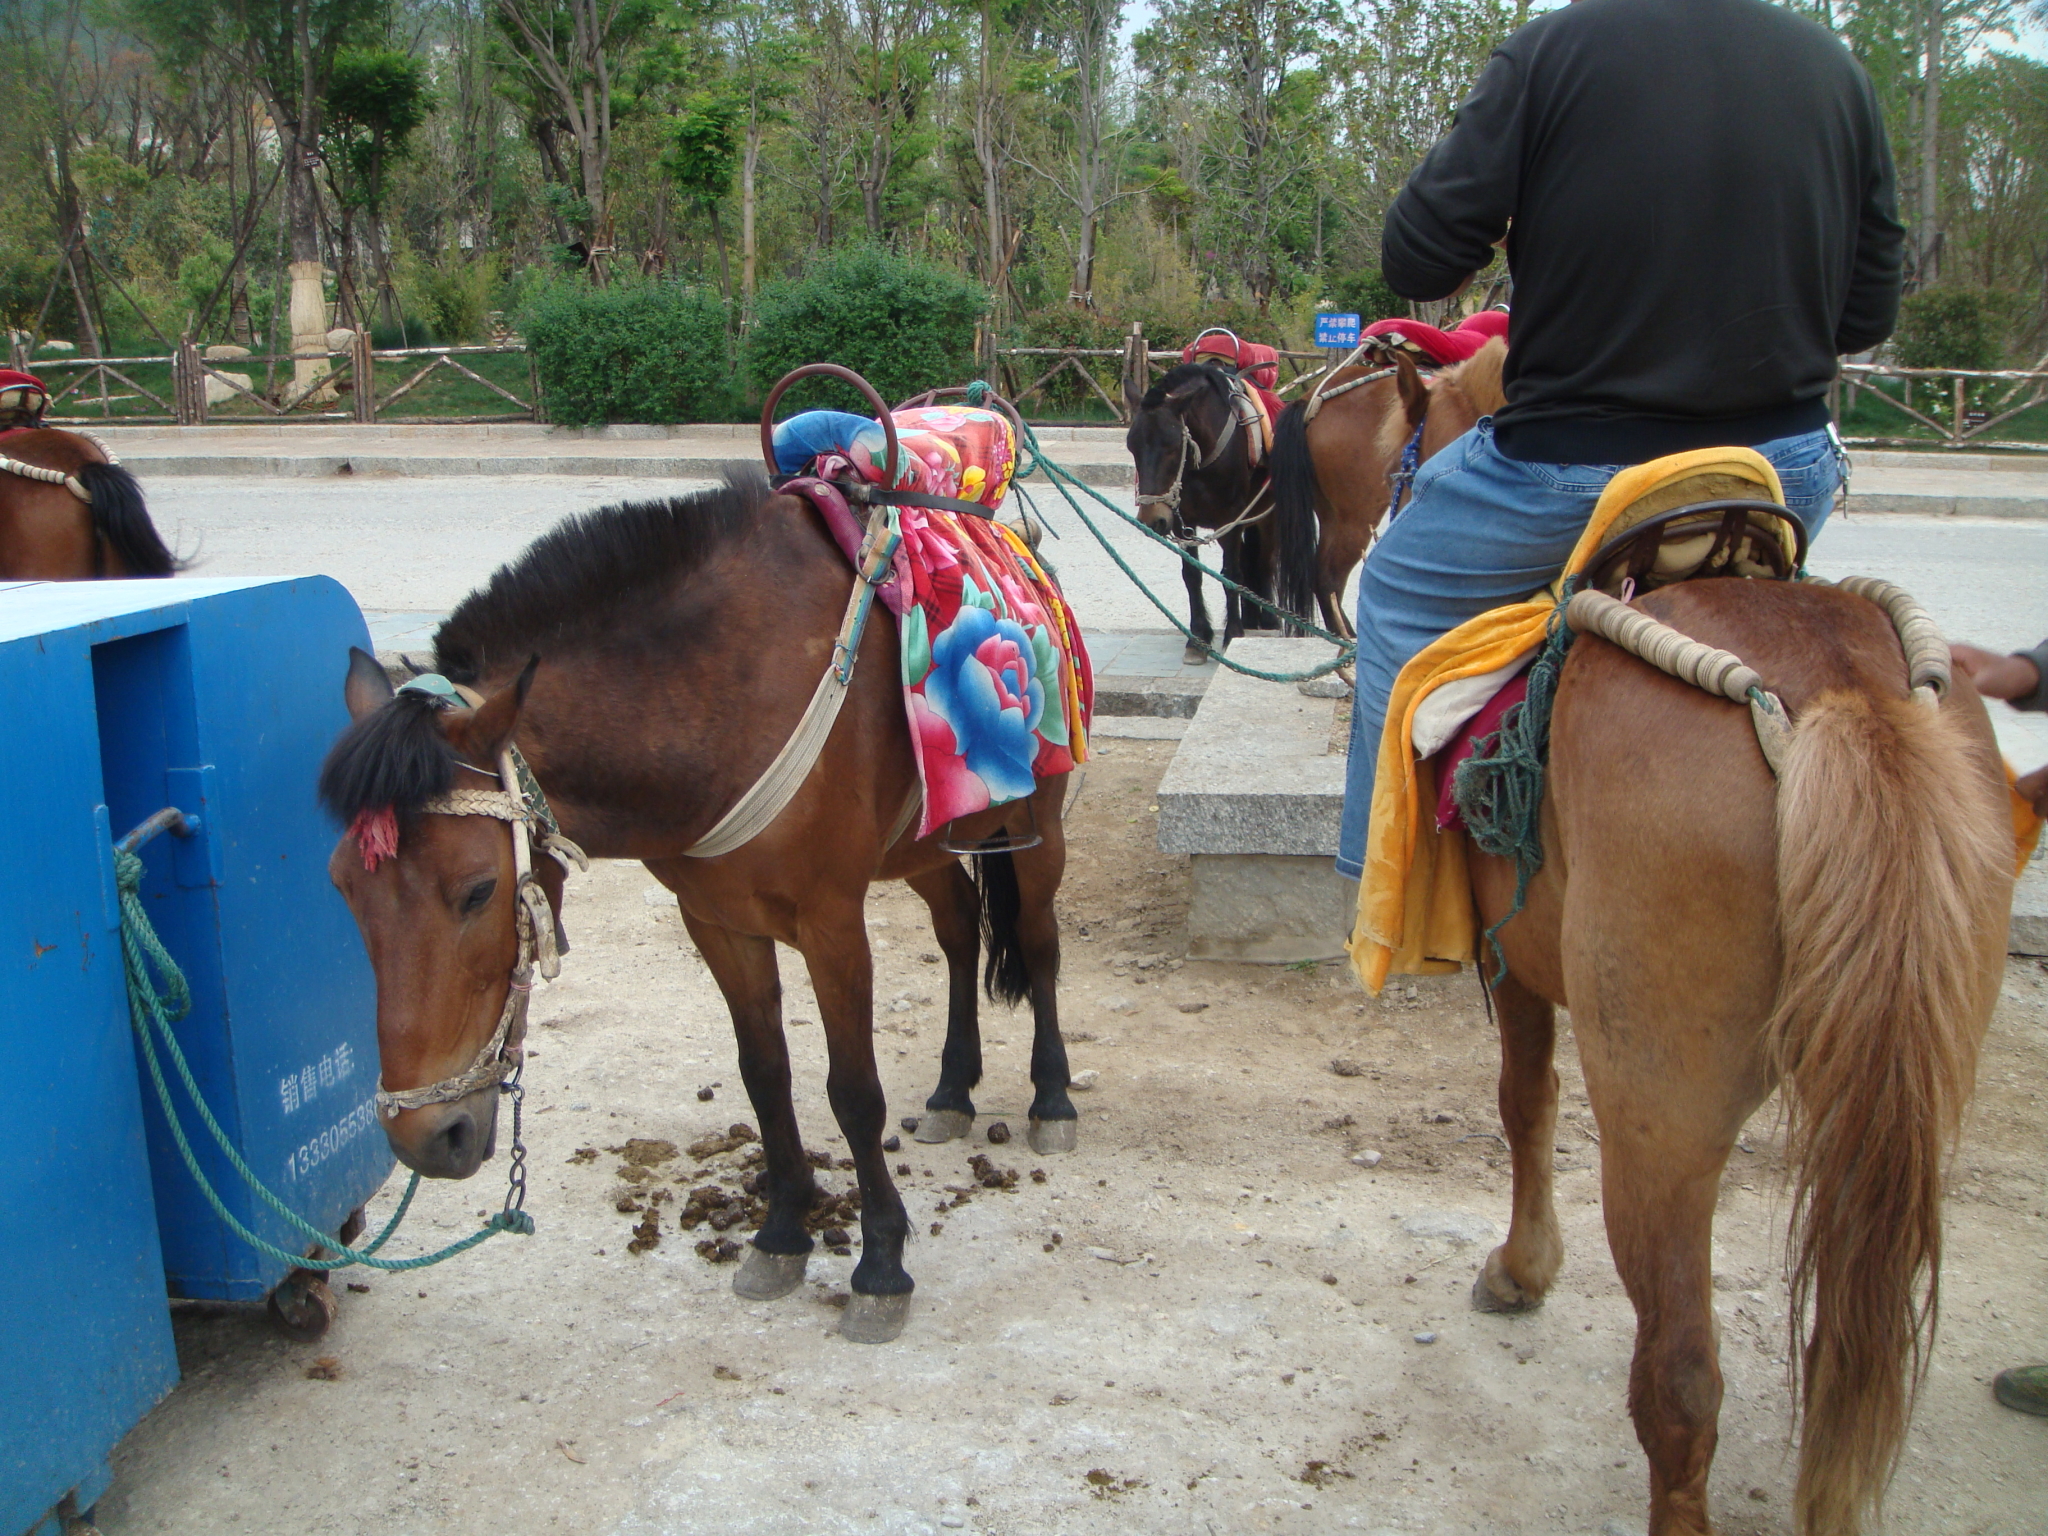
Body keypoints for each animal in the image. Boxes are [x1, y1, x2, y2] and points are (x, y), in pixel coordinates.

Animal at [1122, 370, 1277, 671]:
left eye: (1172, 446)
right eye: (1131, 446)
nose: (1152, 519)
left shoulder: (1231, 520)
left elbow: (1231, 574)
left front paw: (1233, 633)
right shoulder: (1183, 522)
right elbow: (1192, 575)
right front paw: (1198, 638)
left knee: (1265, 562)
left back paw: (1269, 620)